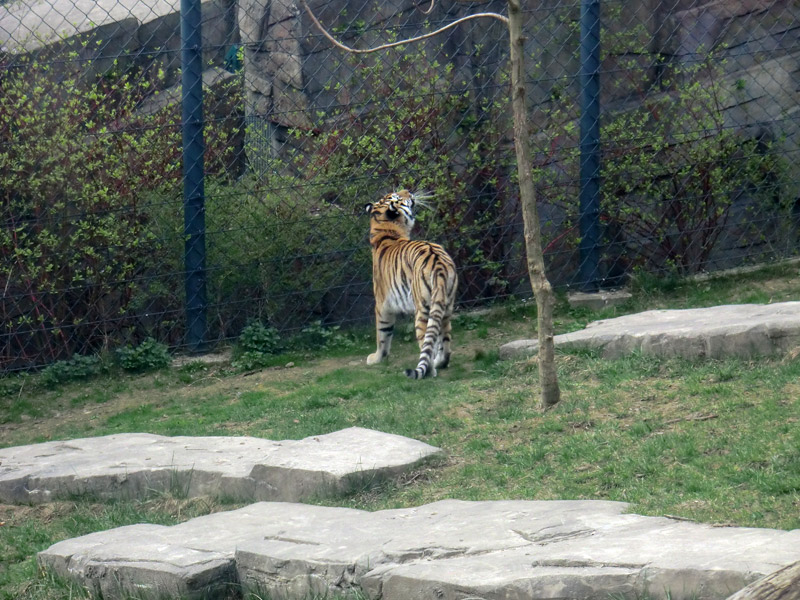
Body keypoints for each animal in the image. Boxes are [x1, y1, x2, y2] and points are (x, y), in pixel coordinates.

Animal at [362, 190, 456, 378]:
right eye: (397, 197)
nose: (408, 192)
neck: (385, 230)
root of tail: (439, 262)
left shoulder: (382, 305)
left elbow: (382, 334)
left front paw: (376, 358)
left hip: (422, 309)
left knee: (426, 344)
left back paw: (429, 370)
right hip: (446, 305)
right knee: (444, 342)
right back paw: (440, 363)